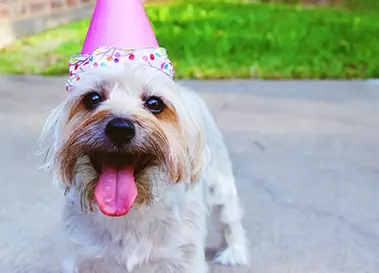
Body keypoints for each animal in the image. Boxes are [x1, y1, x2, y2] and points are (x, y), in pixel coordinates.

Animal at [39, 61, 249, 272]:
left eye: (155, 103)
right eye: (92, 98)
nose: (120, 129)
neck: (130, 212)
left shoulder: (183, 258)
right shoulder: (83, 257)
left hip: (221, 187)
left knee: (230, 218)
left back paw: (234, 252)